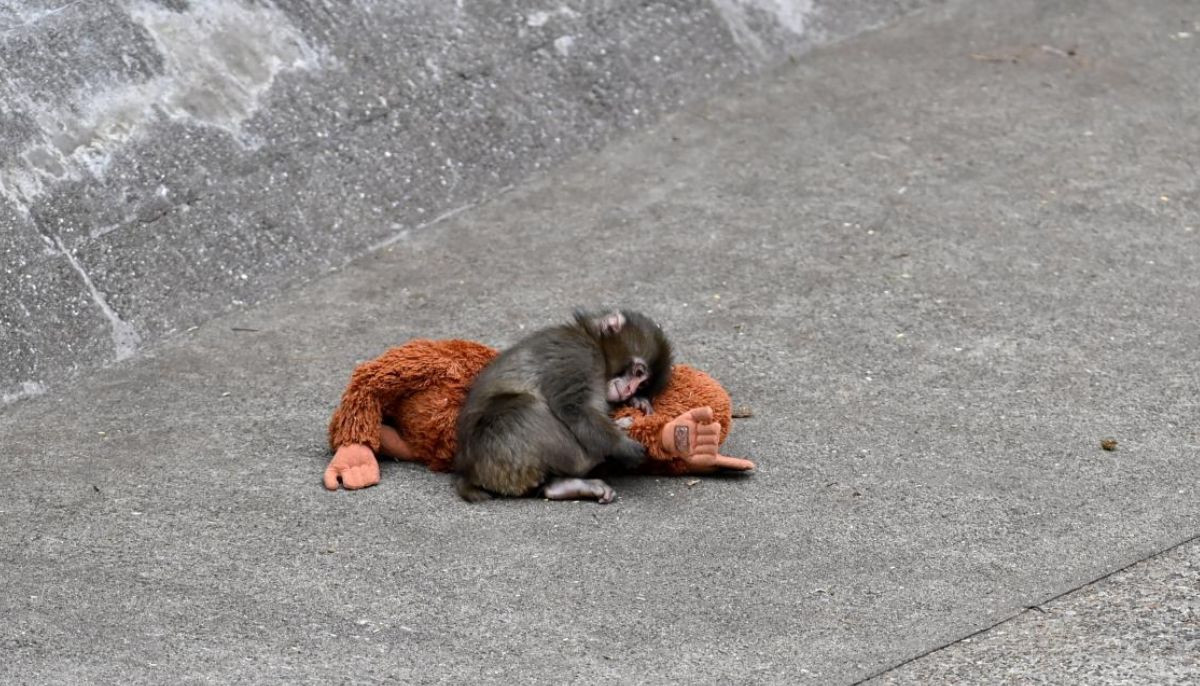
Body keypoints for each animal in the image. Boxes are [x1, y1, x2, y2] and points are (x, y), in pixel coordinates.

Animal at [453, 308, 673, 504]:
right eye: (638, 372)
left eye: (642, 384)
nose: (629, 390)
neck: (593, 341)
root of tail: (469, 472)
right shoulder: (579, 355)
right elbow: (573, 407)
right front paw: (622, 445)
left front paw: (638, 402)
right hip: (497, 448)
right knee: (524, 407)